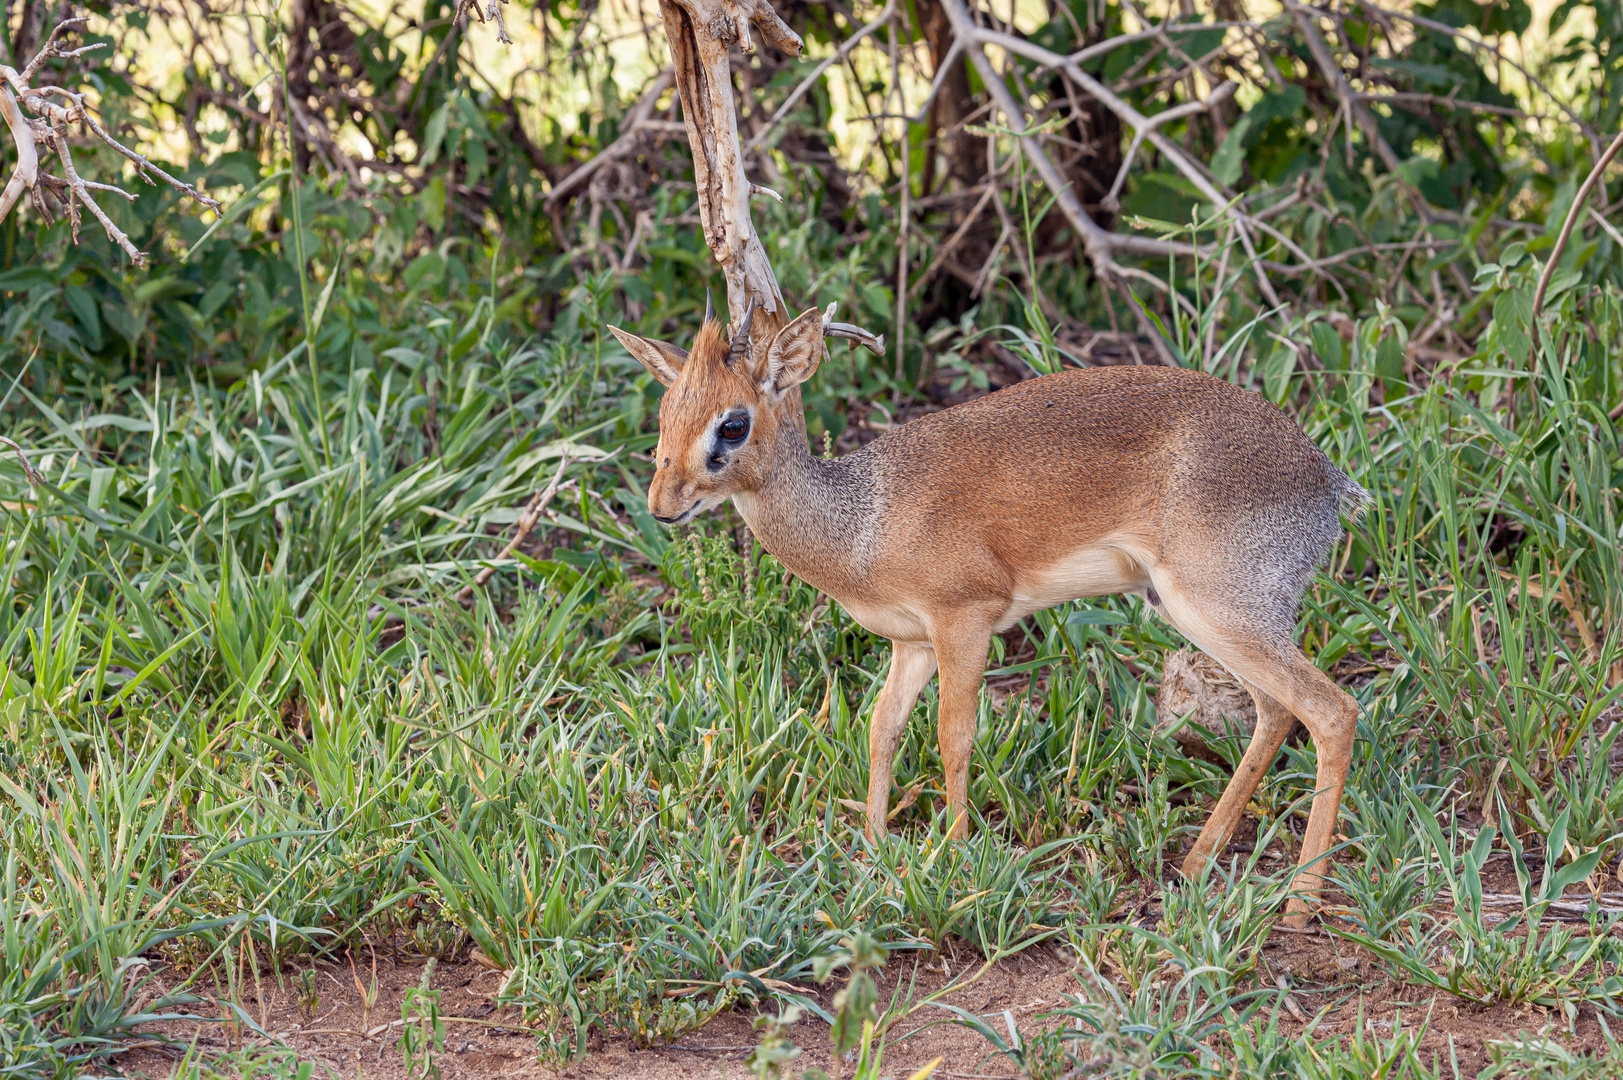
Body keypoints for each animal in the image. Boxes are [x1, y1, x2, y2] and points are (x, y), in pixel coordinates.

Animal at [610, 300, 1369, 915]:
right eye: (666, 415)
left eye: (733, 425)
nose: (662, 506)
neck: (862, 523)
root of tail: (1327, 478)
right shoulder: (911, 642)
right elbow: (881, 729)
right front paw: (873, 853)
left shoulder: (964, 621)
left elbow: (954, 735)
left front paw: (952, 856)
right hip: (1209, 617)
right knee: (1277, 712)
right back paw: (1194, 864)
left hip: (1217, 609)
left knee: (1332, 710)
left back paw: (1300, 905)